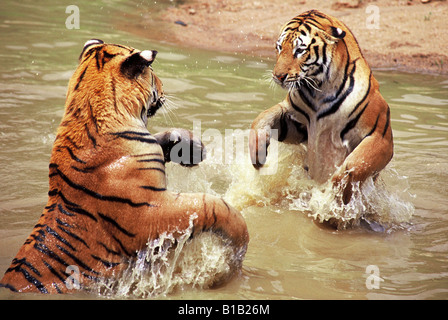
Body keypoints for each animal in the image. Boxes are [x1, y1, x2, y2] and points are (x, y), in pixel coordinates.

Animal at [0, 38, 248, 294]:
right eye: (153, 71)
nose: (164, 88)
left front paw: (193, 147)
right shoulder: (149, 212)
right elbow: (213, 206)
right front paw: (237, 249)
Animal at [250, 9, 394, 205]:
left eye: (299, 50)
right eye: (279, 47)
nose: (278, 76)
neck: (319, 90)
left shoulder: (380, 137)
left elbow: (353, 166)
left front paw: (336, 198)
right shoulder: (298, 123)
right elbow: (261, 117)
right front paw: (257, 154)